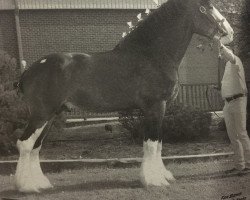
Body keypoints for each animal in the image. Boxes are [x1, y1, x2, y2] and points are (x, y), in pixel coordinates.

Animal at [15, 0, 234, 193]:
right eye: (207, 7)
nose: (229, 33)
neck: (152, 54)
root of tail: (29, 70)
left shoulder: (157, 109)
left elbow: (158, 144)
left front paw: (160, 176)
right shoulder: (156, 106)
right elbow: (152, 144)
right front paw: (154, 181)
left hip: (51, 116)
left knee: (36, 147)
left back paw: (41, 183)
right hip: (41, 114)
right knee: (25, 144)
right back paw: (27, 186)